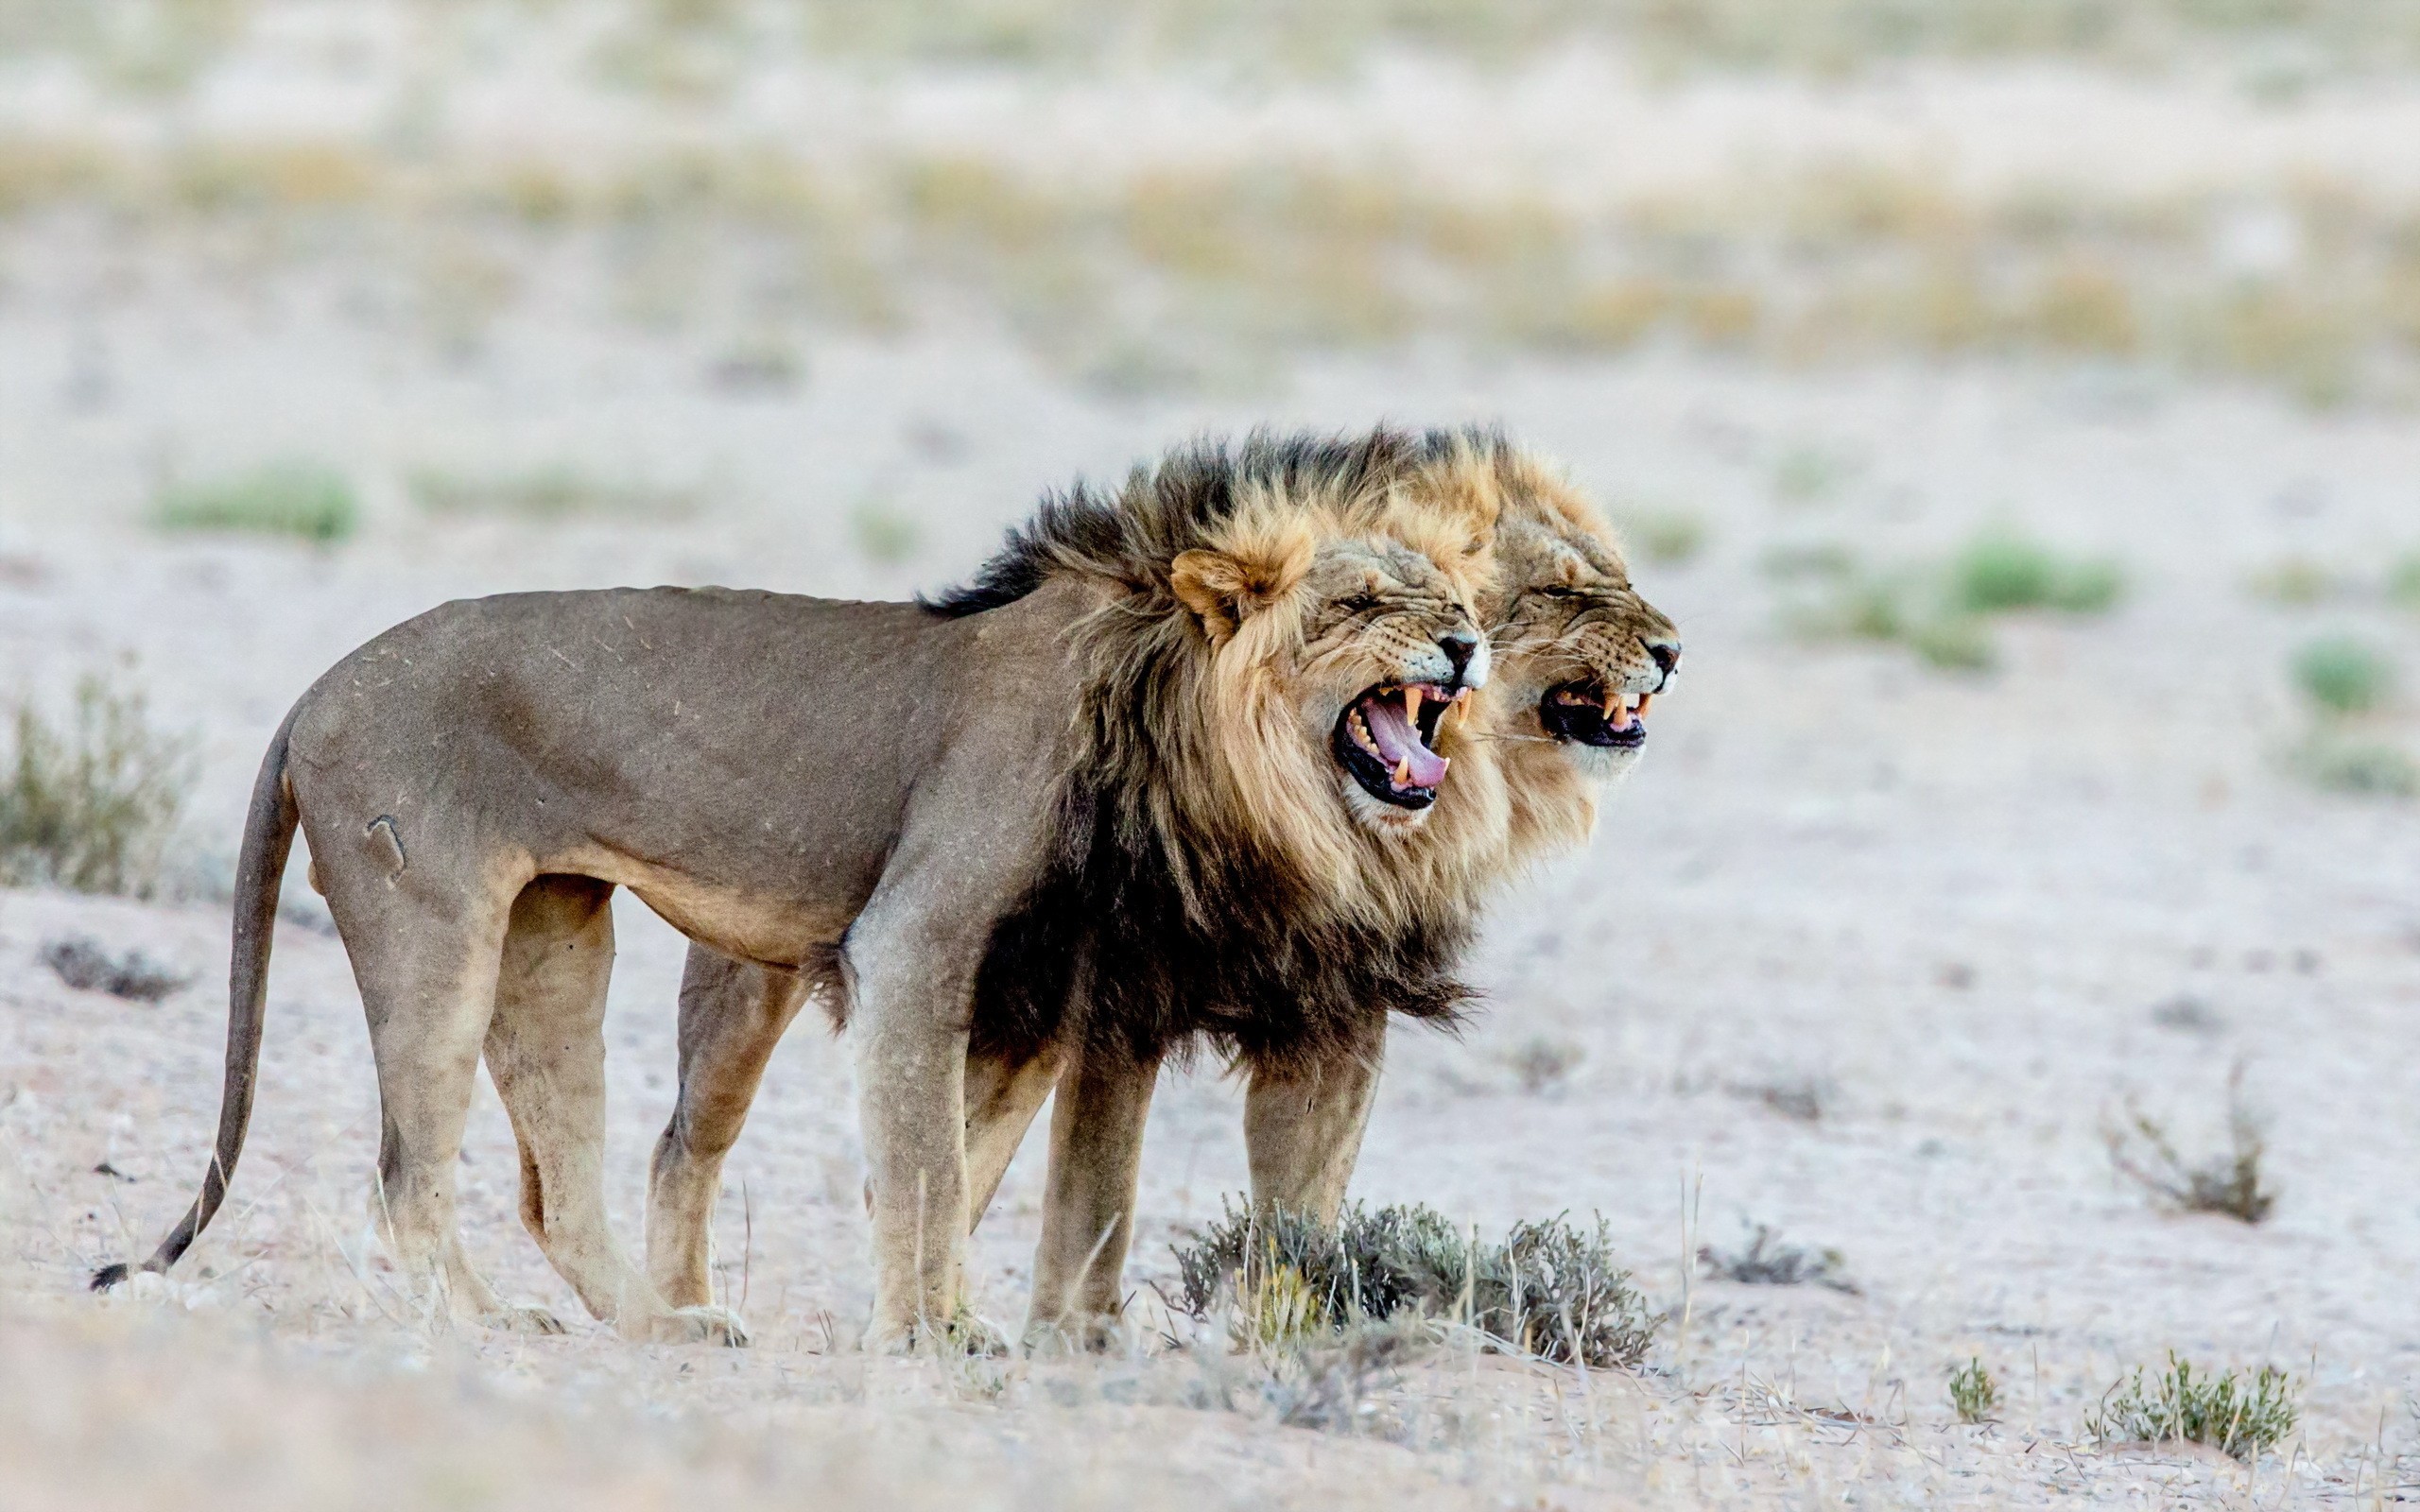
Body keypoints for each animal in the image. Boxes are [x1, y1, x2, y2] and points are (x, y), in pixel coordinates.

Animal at [98, 428, 1510, 1345]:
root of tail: (312, 693)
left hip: (551, 930)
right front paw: (938, 1338)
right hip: (430, 922)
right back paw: (477, 1324)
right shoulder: (918, 936)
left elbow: (966, 1162)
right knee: (407, 1173)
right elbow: (930, 1160)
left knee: (549, 1180)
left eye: (1448, 593)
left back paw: (659, 1326)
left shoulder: (1043, 990)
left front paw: (947, 1319)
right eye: (1362, 601)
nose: (1464, 642)